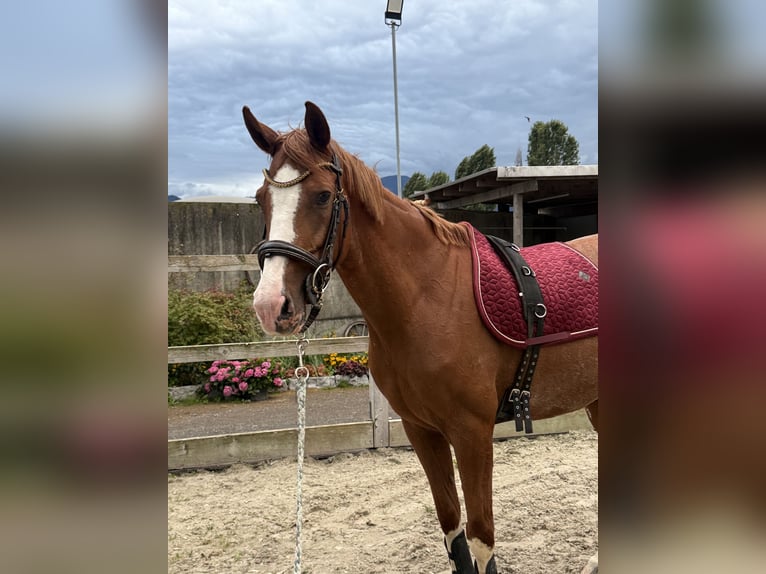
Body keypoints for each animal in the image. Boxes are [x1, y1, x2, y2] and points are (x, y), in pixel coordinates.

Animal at [242, 101, 598, 574]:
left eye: (321, 196)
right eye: (261, 199)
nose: (271, 305)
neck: (427, 299)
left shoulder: (472, 433)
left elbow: (482, 541)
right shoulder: (422, 431)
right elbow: (453, 530)